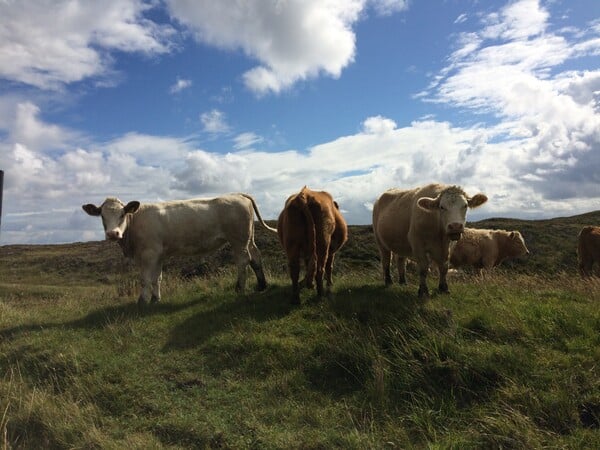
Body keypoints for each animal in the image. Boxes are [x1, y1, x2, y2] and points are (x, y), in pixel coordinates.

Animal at [83, 194, 278, 306]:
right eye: (102, 216)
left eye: (122, 214)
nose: (113, 233)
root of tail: (237, 195)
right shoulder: (158, 255)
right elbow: (157, 278)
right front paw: (156, 299)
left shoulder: (148, 254)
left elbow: (145, 279)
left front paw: (142, 301)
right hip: (248, 238)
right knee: (256, 257)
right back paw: (262, 285)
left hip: (238, 239)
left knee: (243, 261)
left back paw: (239, 288)